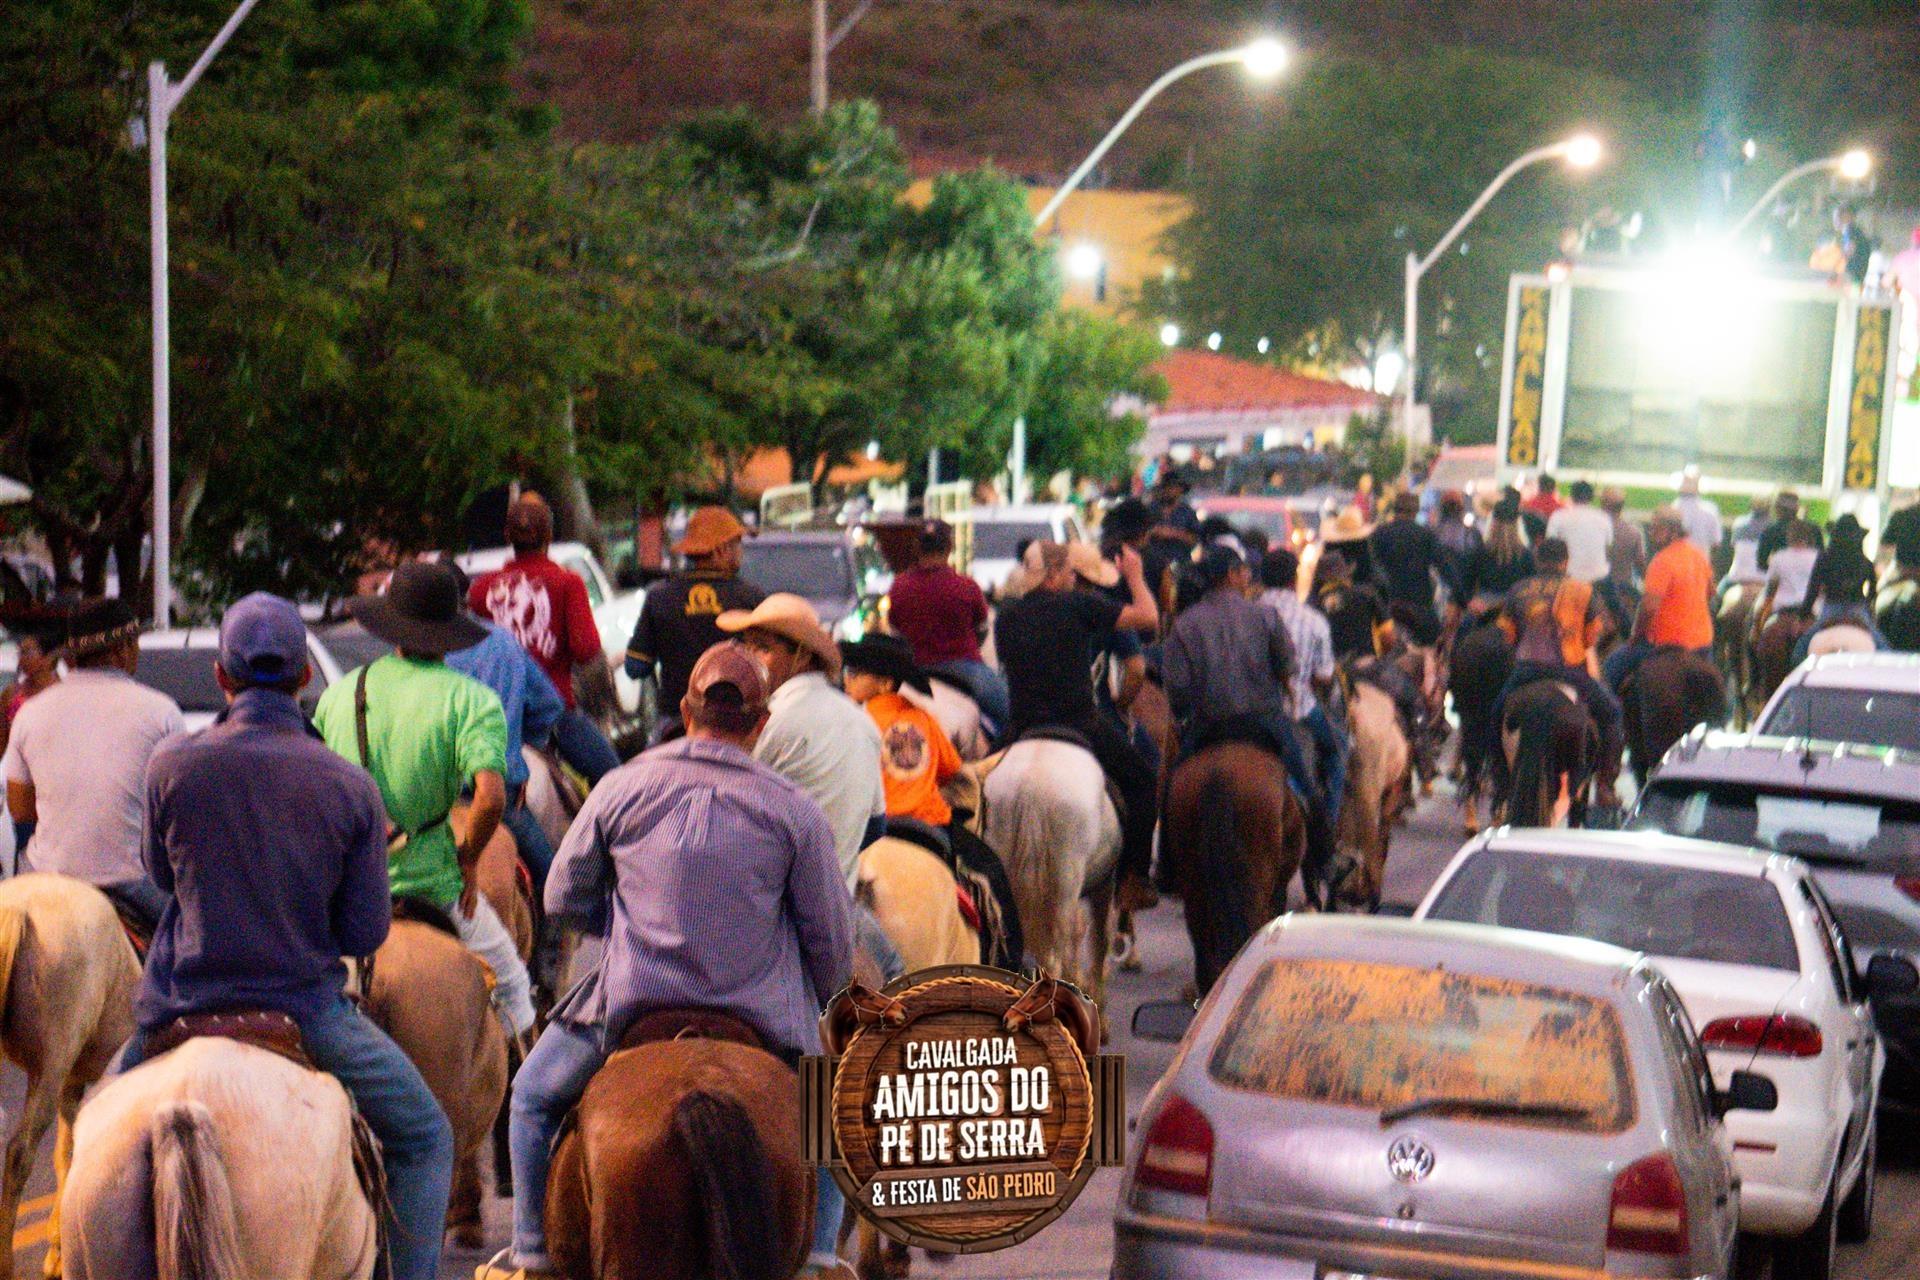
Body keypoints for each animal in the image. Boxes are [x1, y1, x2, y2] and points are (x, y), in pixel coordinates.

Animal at [0, 874, 140, 1280]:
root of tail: (20, 905)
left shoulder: (73, 1083)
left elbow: (67, 1151)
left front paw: (59, 1245)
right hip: (53, 1061)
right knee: (20, 1152)